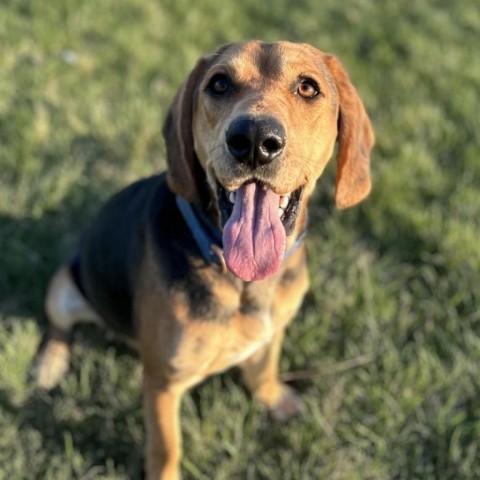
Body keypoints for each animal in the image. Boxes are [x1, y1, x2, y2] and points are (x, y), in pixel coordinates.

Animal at [35, 41, 376, 480]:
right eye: (219, 84)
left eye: (307, 87)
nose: (254, 139)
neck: (241, 279)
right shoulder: (162, 383)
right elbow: (166, 448)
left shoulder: (273, 331)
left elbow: (263, 367)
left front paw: (273, 398)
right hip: (63, 286)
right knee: (58, 327)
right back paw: (49, 364)